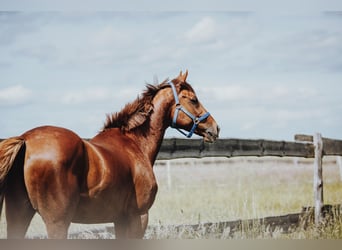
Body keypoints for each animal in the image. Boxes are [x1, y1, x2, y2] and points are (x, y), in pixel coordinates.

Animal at [0, 70, 219, 238]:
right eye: (194, 100)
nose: (215, 128)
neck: (135, 143)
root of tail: (26, 140)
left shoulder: (119, 219)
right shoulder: (138, 216)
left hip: (18, 216)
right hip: (57, 222)